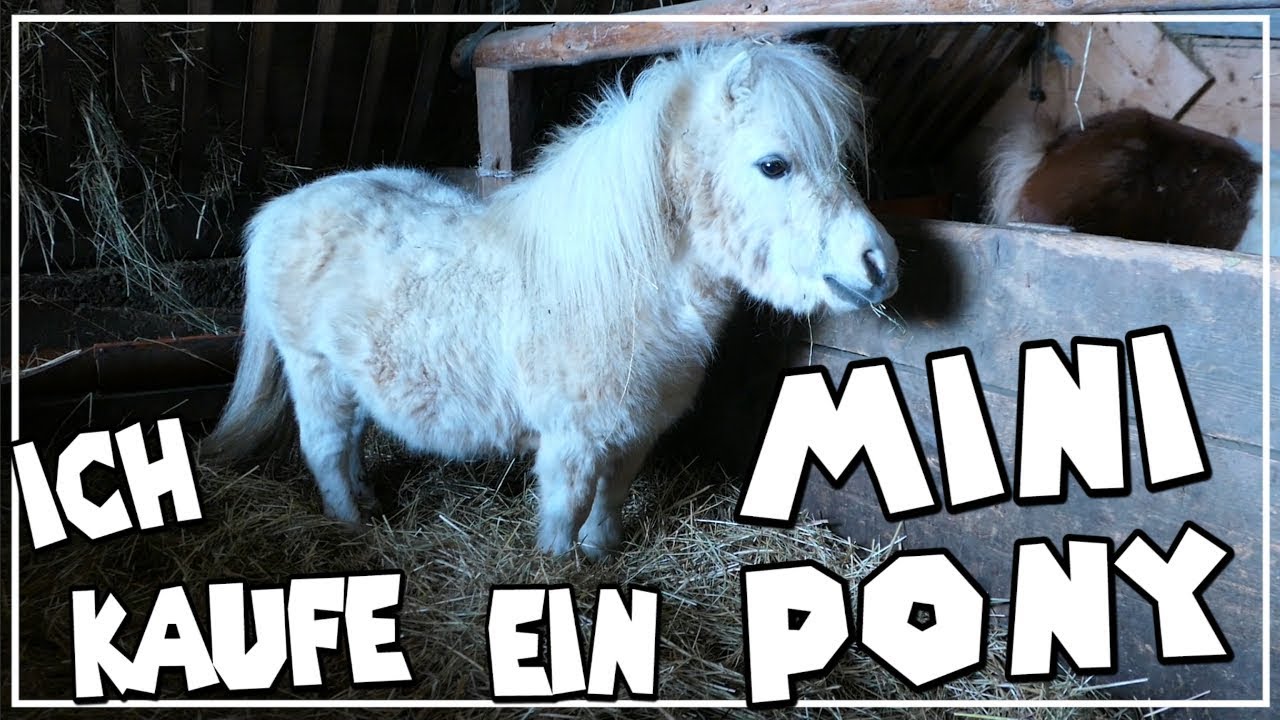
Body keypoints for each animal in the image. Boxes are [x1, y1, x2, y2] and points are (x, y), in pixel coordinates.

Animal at [202, 41, 899, 559]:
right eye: (773, 165)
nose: (879, 264)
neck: (617, 281)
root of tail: (280, 209)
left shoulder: (636, 429)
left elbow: (613, 496)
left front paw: (600, 553)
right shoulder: (573, 439)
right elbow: (567, 508)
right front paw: (559, 567)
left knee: (347, 446)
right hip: (313, 370)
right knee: (325, 449)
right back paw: (351, 523)